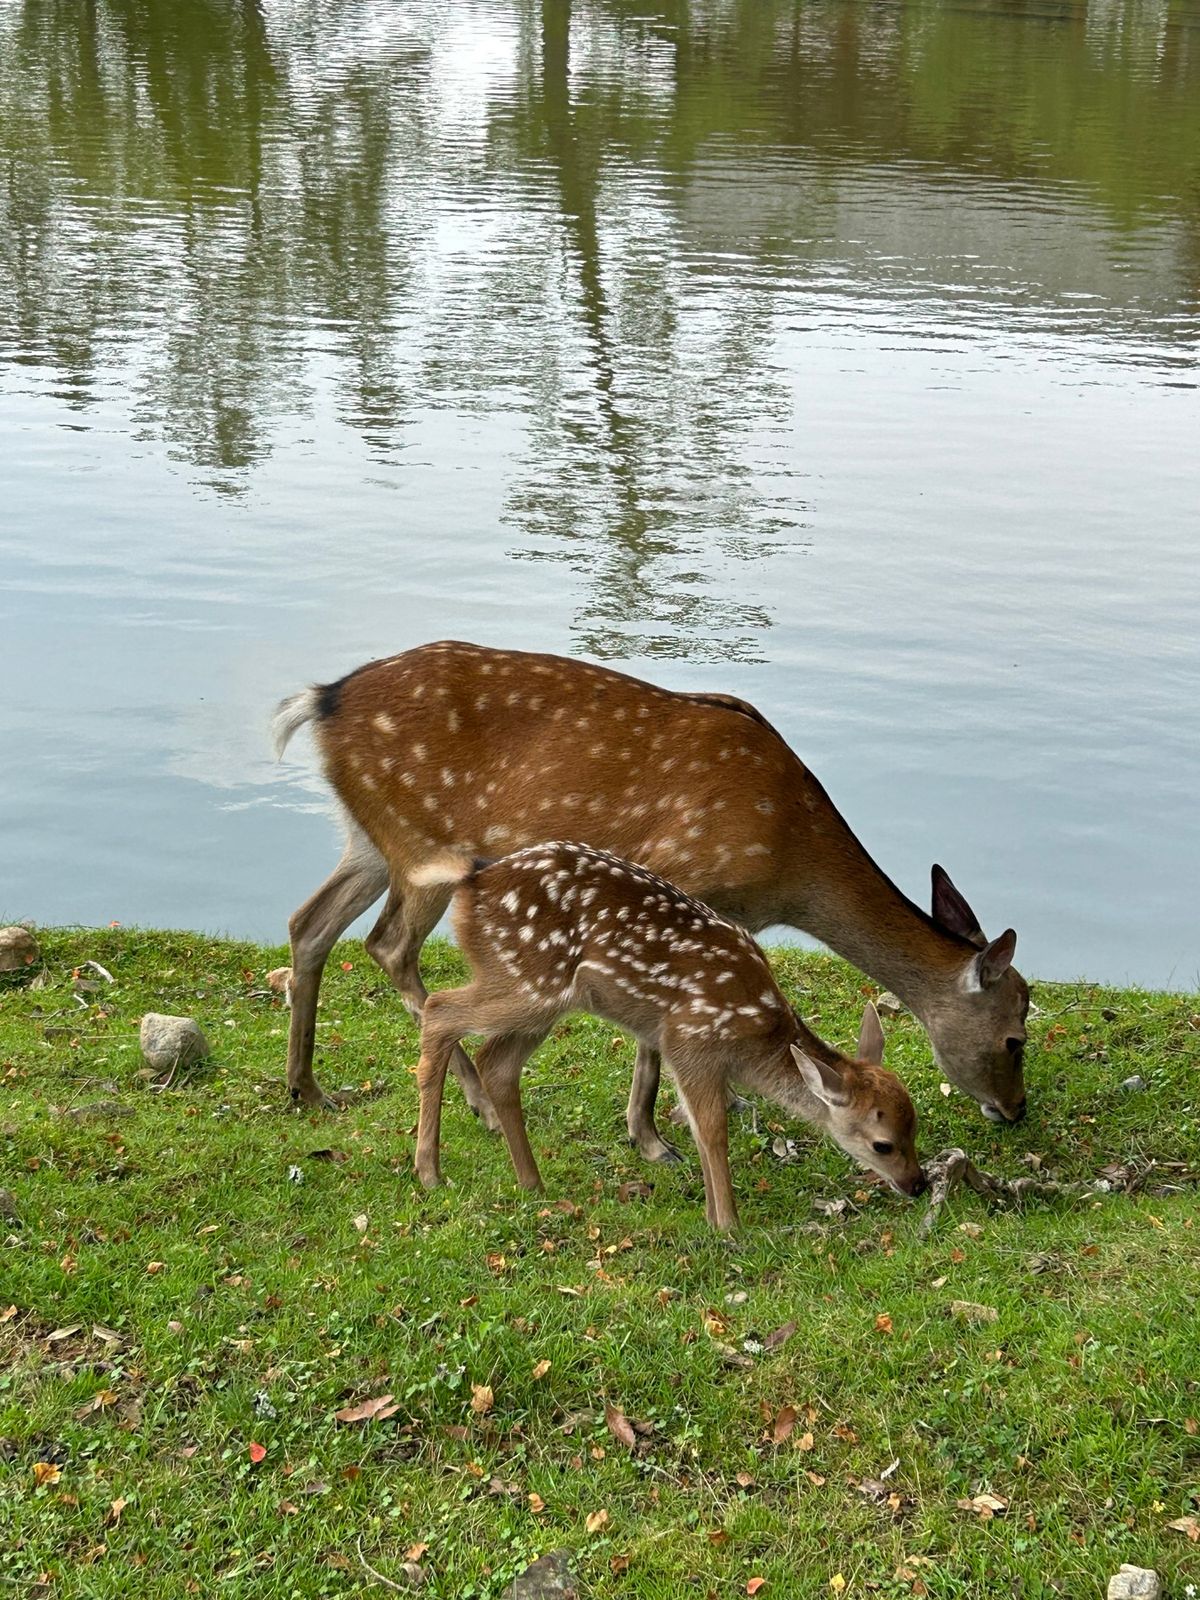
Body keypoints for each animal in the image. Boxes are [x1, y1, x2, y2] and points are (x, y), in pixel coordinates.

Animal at [272, 640, 1031, 1150]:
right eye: (1016, 1036)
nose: (1016, 1110)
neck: (786, 861)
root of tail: (320, 701)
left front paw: (697, 1112)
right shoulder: (680, 876)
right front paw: (651, 1135)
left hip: (369, 838)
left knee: (311, 922)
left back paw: (307, 1088)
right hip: (420, 840)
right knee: (388, 944)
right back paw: (478, 1104)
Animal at [409, 842, 925, 1229]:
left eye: (914, 1125)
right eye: (882, 1144)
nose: (918, 1183)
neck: (756, 1034)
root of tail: (473, 879)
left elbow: (700, 1128)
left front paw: (715, 1216)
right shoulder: (689, 1040)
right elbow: (711, 1130)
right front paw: (728, 1227)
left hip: (543, 1000)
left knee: (497, 1062)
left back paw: (531, 1182)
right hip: (529, 981)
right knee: (440, 1011)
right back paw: (430, 1173)